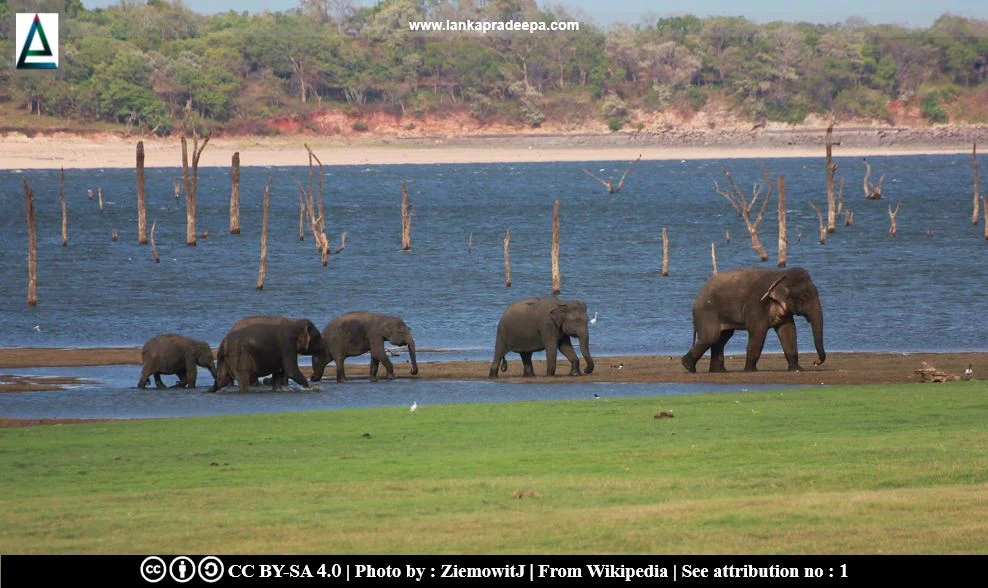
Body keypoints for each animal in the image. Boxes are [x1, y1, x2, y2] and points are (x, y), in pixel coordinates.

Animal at [680, 266, 824, 372]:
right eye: (805, 296)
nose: (815, 362)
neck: (779, 275)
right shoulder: (756, 306)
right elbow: (758, 332)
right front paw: (750, 370)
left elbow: (788, 331)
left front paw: (797, 369)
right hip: (707, 313)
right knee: (711, 337)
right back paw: (688, 366)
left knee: (721, 339)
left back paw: (718, 371)